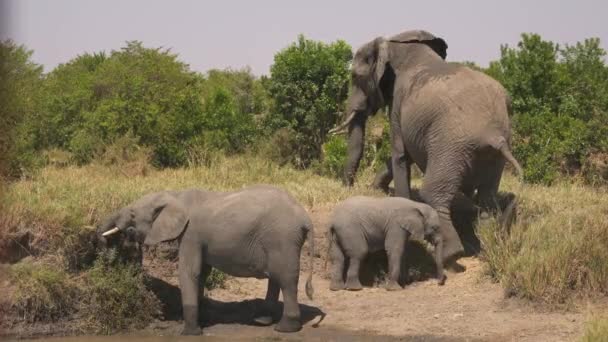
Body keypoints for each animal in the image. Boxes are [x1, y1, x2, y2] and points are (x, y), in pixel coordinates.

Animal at [97, 184, 316, 334]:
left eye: (133, 214)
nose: (100, 240)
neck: (174, 195)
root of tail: (305, 218)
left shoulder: (191, 234)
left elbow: (189, 272)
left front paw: (189, 332)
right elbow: (201, 273)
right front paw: (201, 320)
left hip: (283, 238)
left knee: (286, 278)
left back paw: (285, 328)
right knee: (276, 276)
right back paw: (262, 321)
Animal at [332, 30, 524, 264]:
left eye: (354, 77)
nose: (348, 187)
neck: (396, 44)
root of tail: (493, 135)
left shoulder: (398, 102)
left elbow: (400, 154)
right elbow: (401, 156)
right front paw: (377, 189)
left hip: (451, 144)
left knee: (432, 192)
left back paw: (448, 254)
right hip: (495, 152)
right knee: (487, 196)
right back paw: (487, 244)